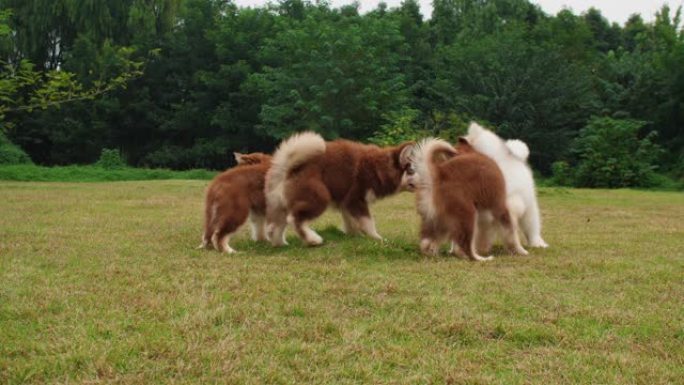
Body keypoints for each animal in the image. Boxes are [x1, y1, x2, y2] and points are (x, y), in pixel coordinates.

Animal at [266, 132, 412, 246]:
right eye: (412, 170)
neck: (378, 167)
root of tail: (290, 168)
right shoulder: (356, 200)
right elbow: (368, 223)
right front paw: (377, 238)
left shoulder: (346, 203)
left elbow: (351, 222)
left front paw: (354, 236)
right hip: (319, 197)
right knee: (294, 219)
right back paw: (312, 239)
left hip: (282, 205)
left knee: (275, 226)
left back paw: (280, 243)